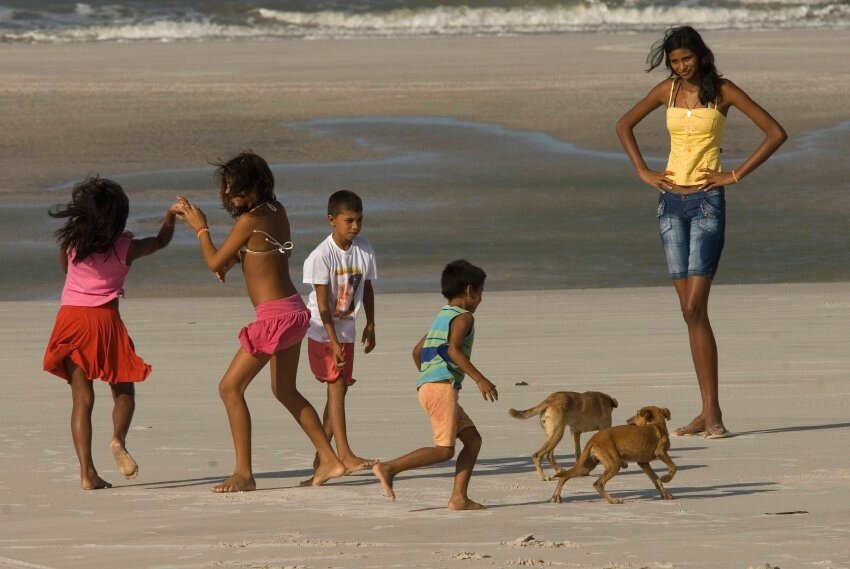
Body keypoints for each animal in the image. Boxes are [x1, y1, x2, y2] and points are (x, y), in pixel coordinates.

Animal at [548, 406, 676, 504]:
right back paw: (613, 500)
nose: (627, 420)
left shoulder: (643, 463)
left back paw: (556, 496)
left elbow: (656, 480)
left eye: (637, 414)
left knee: (564, 476)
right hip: (614, 463)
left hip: (586, 466)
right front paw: (666, 478)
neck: (657, 425)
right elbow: (673, 467)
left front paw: (665, 494)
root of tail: (593, 439)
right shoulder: (660, 452)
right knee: (598, 483)